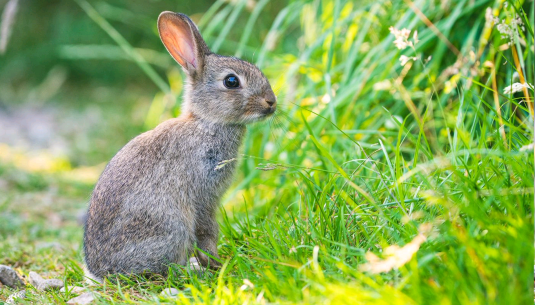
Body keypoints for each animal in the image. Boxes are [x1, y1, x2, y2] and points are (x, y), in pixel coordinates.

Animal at [85, 11, 276, 282]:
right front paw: (216, 264)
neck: (206, 121)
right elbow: (208, 231)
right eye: (231, 81)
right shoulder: (203, 195)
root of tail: (101, 271)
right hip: (170, 226)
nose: (272, 102)